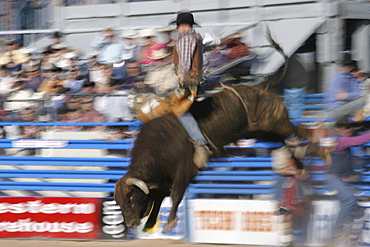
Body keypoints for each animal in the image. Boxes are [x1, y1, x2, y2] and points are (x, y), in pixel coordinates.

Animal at [113, 84, 326, 233]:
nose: (130, 223)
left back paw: (321, 152)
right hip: (263, 132)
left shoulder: (185, 171)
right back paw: (300, 166)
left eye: (131, 197)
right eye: (119, 202)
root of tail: (262, 90)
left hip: (275, 122)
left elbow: (175, 196)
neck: (159, 147)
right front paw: (150, 223)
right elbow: (157, 200)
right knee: (283, 142)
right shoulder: (162, 181)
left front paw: (170, 222)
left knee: (297, 130)